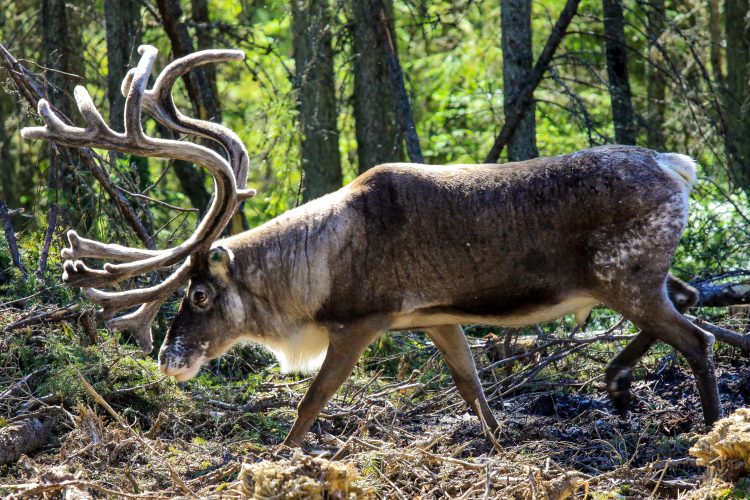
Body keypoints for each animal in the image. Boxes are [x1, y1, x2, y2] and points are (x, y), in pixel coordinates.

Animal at [22, 45, 726, 448]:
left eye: (199, 293)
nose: (168, 359)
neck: (311, 274)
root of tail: (677, 167)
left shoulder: (362, 319)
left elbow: (311, 402)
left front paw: (282, 456)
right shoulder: (437, 317)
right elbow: (472, 387)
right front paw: (501, 442)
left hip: (625, 276)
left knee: (698, 337)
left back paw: (709, 426)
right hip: (637, 277)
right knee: (690, 299)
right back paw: (619, 383)